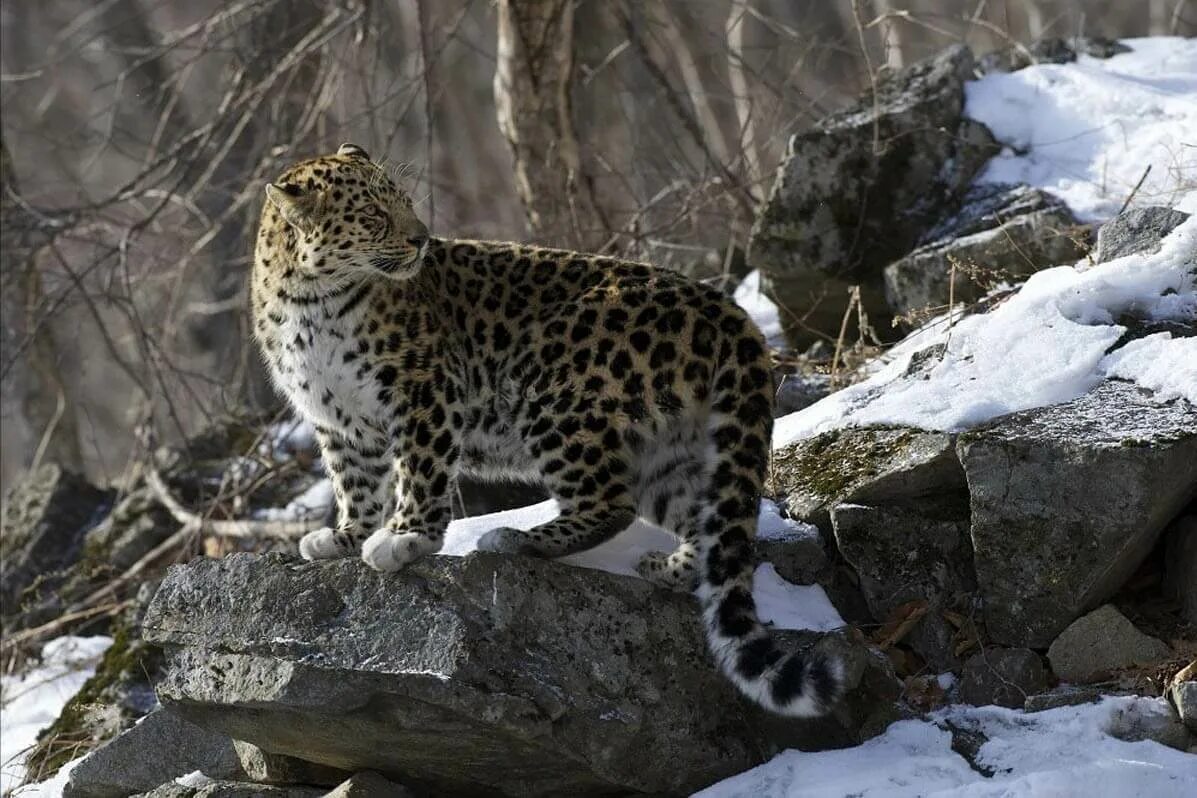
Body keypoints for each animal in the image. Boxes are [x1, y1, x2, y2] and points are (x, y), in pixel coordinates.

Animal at [252, 143, 842, 717]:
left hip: (554, 390)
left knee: (610, 503)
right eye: (375, 215)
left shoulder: (423, 391)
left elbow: (419, 470)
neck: (309, 300)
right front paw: (345, 536)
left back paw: (513, 539)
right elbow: (353, 484)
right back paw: (668, 568)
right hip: (669, 446)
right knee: (706, 522)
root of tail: (728, 309)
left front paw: (405, 539)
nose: (421, 240)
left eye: (406, 202)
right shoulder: (338, 422)